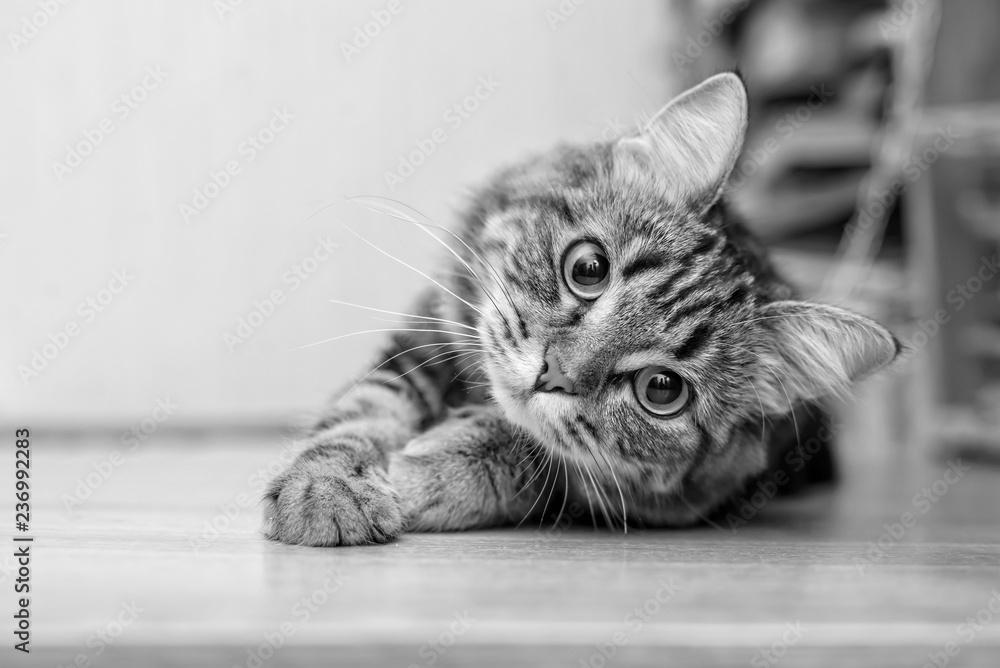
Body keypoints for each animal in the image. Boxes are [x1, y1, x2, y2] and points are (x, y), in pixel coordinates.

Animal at [262, 72, 900, 546]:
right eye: (588, 269)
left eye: (662, 389)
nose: (553, 373)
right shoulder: (423, 343)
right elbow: (360, 415)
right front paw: (326, 490)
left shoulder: (621, 493)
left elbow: (527, 454)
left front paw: (425, 471)